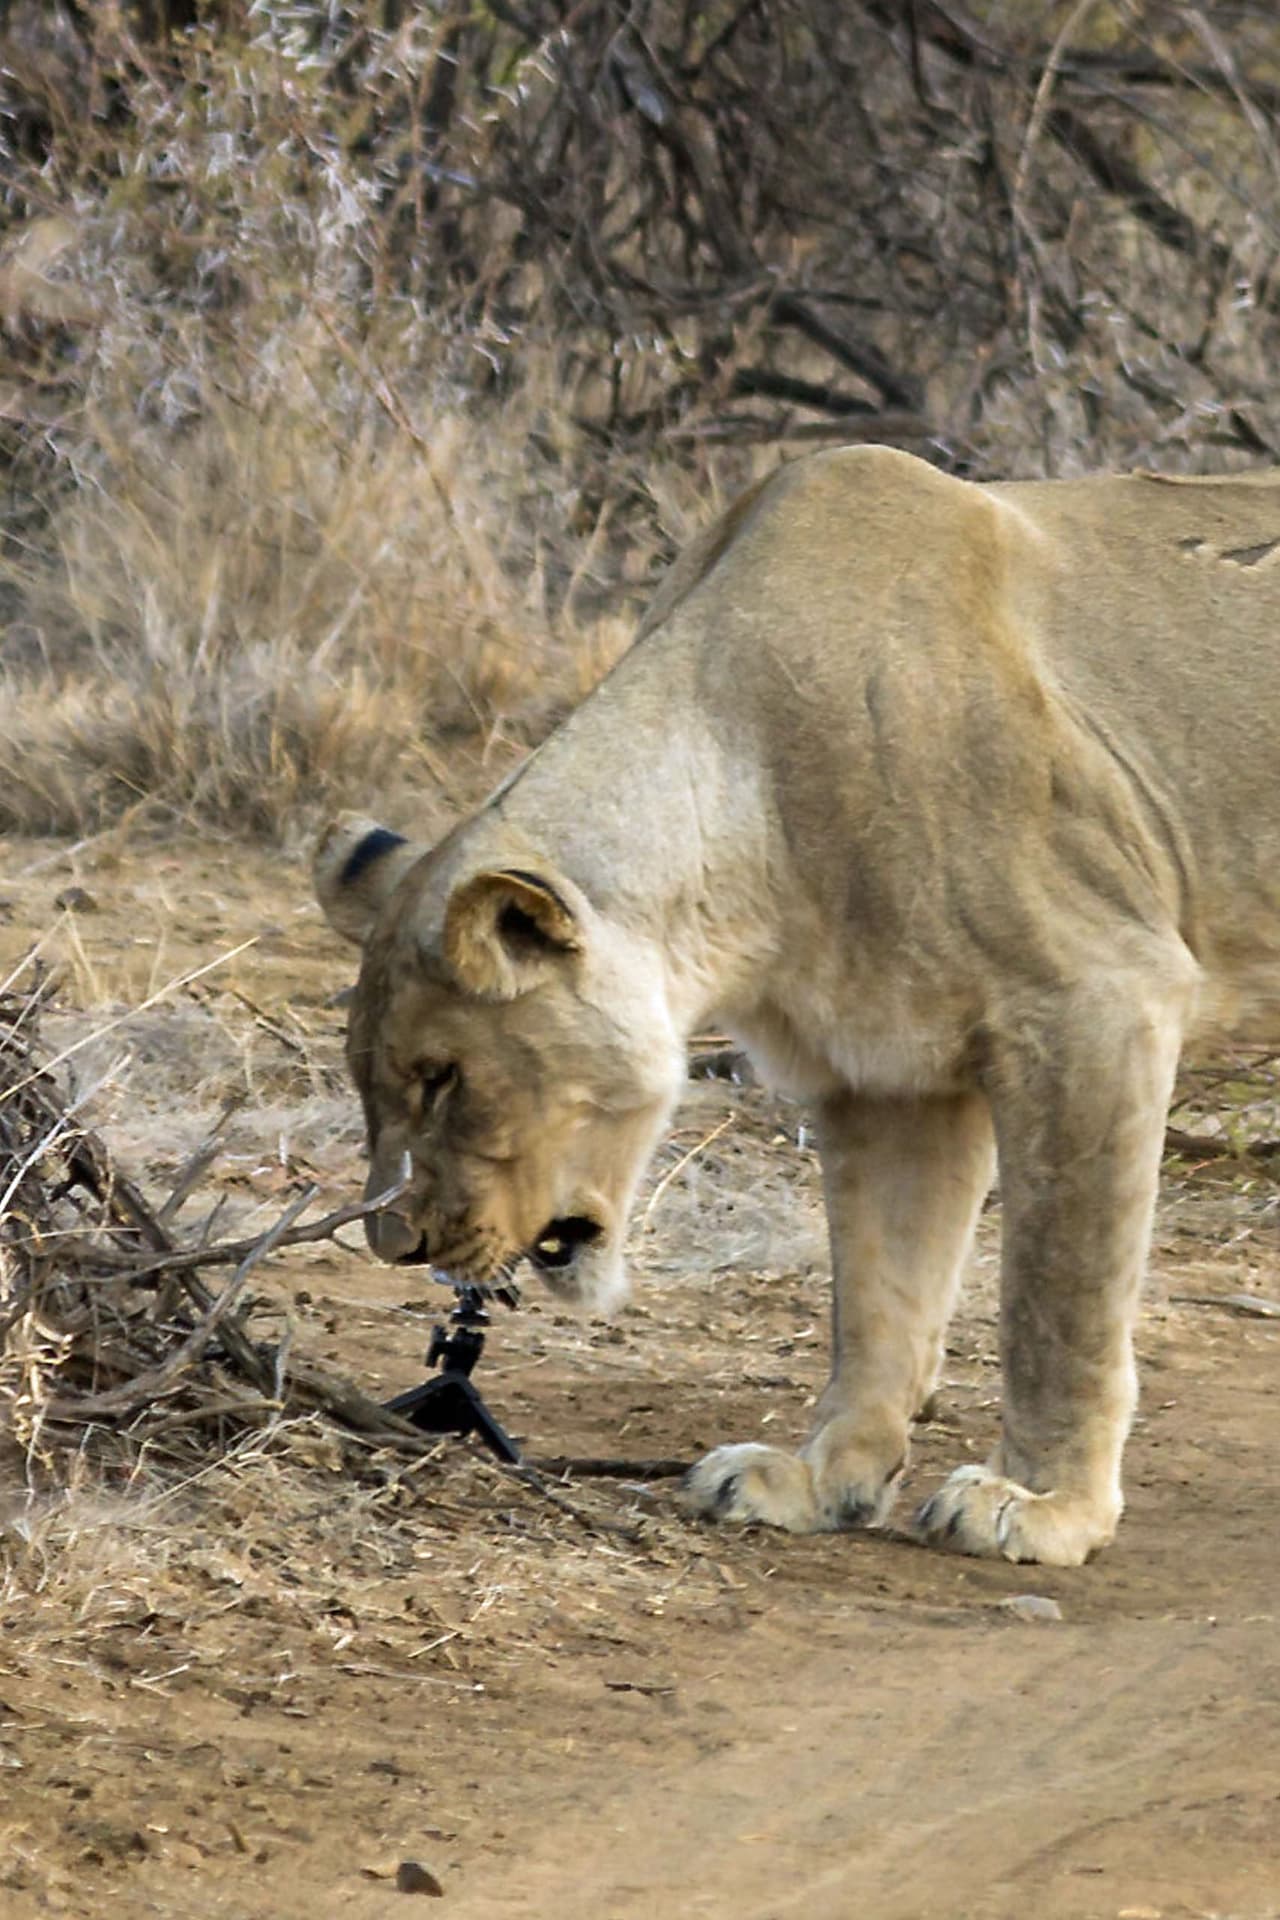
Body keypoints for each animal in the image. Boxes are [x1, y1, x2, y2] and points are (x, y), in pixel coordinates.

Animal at [314, 444, 1280, 1567]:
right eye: (371, 1089)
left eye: (443, 1077)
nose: (399, 1247)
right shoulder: (884, 1075)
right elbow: (877, 1294)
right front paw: (820, 1482)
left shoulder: (1097, 998)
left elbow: (1059, 1293)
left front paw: (1041, 1506)